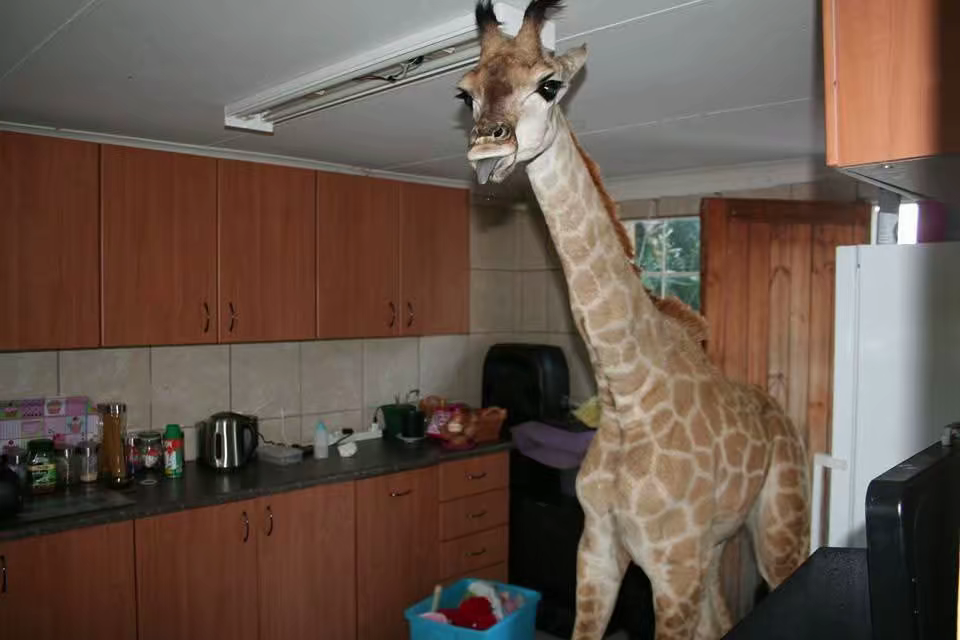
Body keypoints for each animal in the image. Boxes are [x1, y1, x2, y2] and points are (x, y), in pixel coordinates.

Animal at [457, 2, 811, 639]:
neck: (627, 395)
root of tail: (781, 414)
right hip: (715, 547)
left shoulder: (670, 566)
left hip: (777, 527)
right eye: (464, 92)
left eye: (550, 85)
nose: (486, 152)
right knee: (721, 620)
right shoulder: (597, 546)